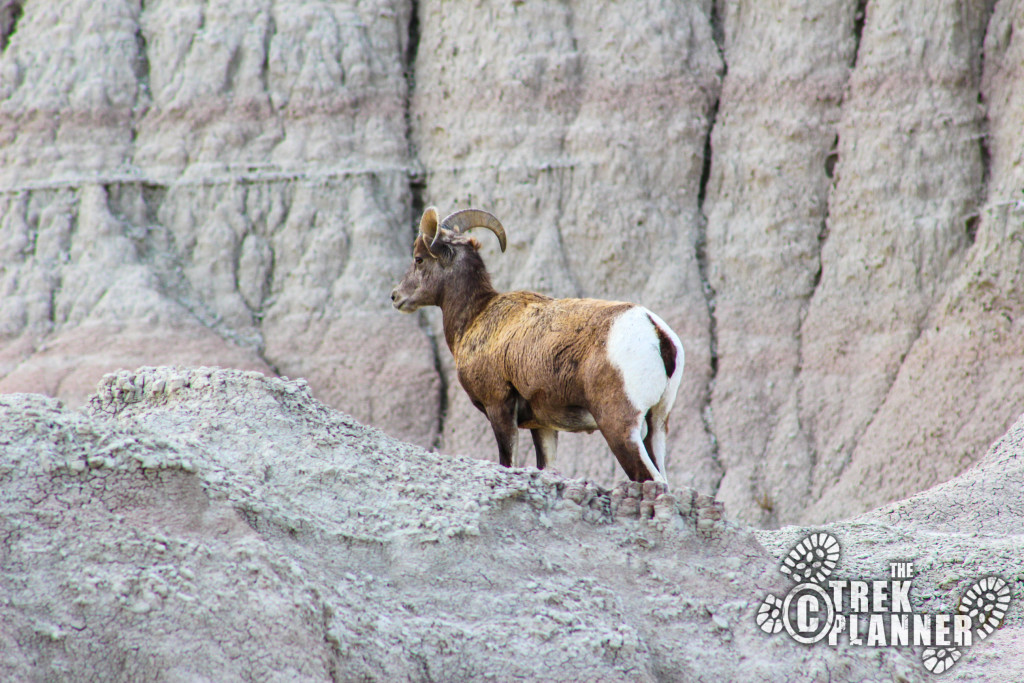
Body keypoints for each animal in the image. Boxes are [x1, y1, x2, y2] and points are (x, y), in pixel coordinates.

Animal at [387, 205, 684, 483]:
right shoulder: (543, 426)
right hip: (657, 425)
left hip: (620, 427)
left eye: (418, 259)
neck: (476, 316)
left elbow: (508, 461)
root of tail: (656, 331)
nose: (395, 296)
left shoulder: (499, 408)